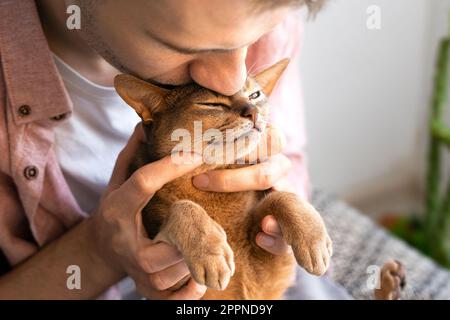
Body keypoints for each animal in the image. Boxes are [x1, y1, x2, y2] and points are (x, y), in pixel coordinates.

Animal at [115, 58, 334, 300]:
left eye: (255, 95)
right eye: (211, 104)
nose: (253, 112)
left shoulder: (268, 268)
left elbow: (280, 197)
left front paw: (314, 239)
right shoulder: (169, 279)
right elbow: (182, 206)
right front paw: (211, 253)